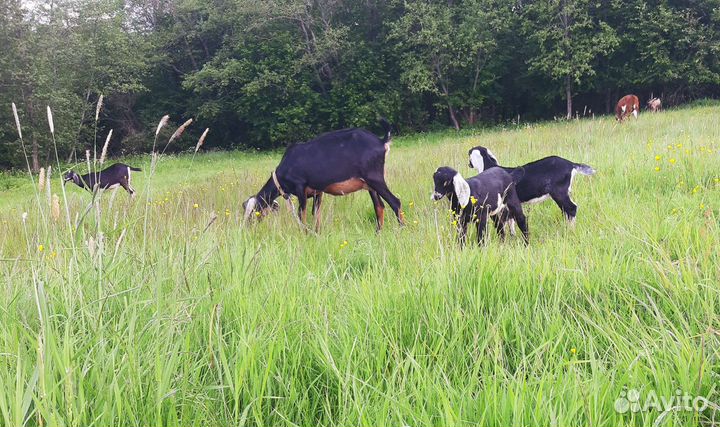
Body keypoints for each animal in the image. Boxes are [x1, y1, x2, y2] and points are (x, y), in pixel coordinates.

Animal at [242, 119, 404, 232]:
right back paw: (378, 233)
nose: (246, 228)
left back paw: (401, 230)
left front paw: (304, 234)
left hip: (375, 178)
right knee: (379, 206)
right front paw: (317, 234)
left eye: (254, 211)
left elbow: (302, 215)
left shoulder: (301, 187)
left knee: (395, 202)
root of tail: (381, 141)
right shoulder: (317, 191)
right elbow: (316, 214)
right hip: (369, 185)